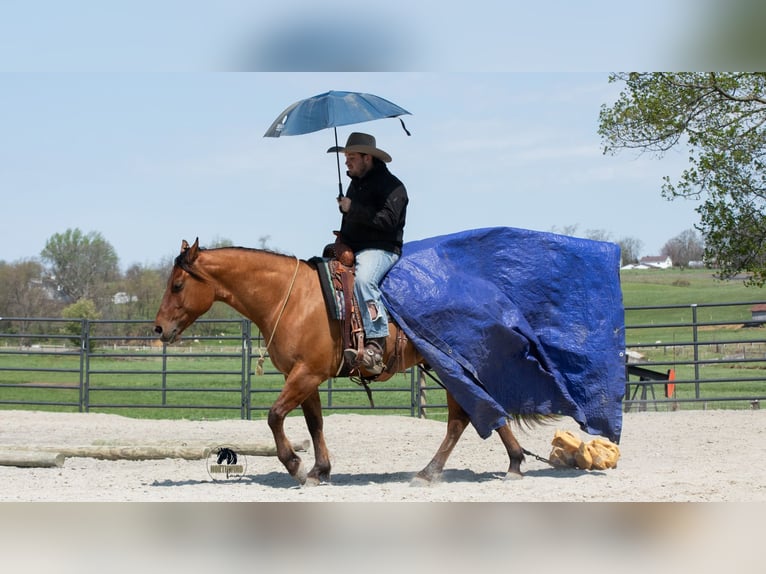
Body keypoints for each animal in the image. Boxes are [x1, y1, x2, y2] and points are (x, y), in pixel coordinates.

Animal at [154, 238, 530, 486]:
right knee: (480, 413)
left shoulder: (306, 374)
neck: (292, 298)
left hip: (451, 368)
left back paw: (431, 472)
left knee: (462, 419)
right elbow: (314, 424)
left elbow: (275, 416)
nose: (158, 328)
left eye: (177, 285)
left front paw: (295, 465)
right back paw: (512, 462)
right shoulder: (304, 377)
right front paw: (320, 471)